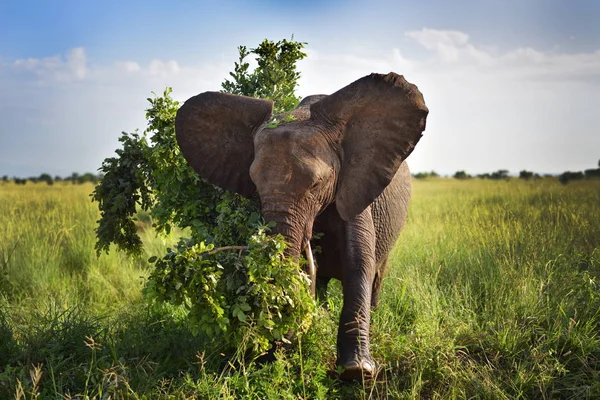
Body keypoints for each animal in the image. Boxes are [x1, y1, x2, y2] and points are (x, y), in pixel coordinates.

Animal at [173, 72, 426, 382]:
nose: (277, 345)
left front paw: (357, 372)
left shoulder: (354, 186)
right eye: (254, 185)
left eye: (316, 184)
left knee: (377, 272)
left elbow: (359, 261)